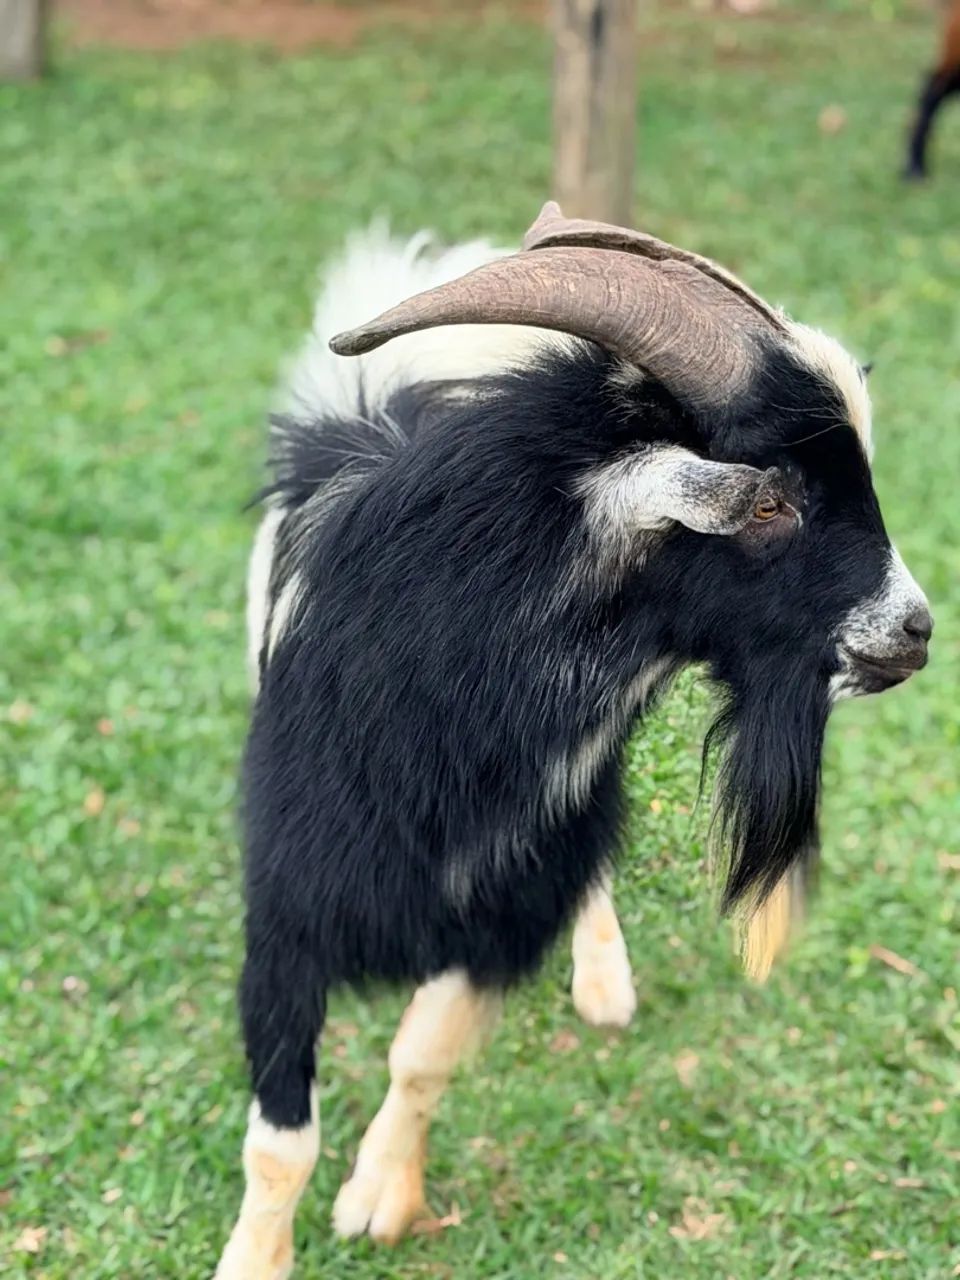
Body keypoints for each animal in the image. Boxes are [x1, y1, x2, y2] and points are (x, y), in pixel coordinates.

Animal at [214, 203, 932, 1278]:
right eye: (772, 500)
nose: (916, 629)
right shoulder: (287, 908)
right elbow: (279, 1143)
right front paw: (257, 1256)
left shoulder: (512, 901)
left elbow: (419, 1056)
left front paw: (380, 1193)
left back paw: (603, 985)